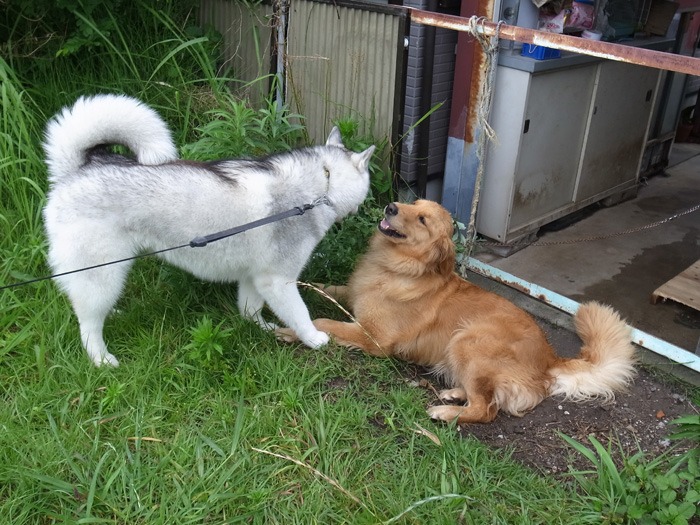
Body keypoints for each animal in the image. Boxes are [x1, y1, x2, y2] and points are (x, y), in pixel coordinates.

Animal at [43, 93, 374, 364]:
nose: (362, 209)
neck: (321, 186)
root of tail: (79, 169)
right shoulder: (278, 280)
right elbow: (301, 315)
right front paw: (314, 339)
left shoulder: (254, 277)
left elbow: (250, 308)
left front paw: (260, 328)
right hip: (101, 273)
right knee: (88, 324)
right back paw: (101, 359)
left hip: (105, 274)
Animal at [282, 199, 636, 424]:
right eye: (413, 203)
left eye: (423, 220)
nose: (391, 206)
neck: (396, 268)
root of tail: (550, 358)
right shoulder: (351, 296)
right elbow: (322, 288)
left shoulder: (374, 338)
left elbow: (322, 321)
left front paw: (291, 331)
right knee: (483, 395)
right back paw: (454, 393)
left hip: (469, 339)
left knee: (487, 410)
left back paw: (447, 413)